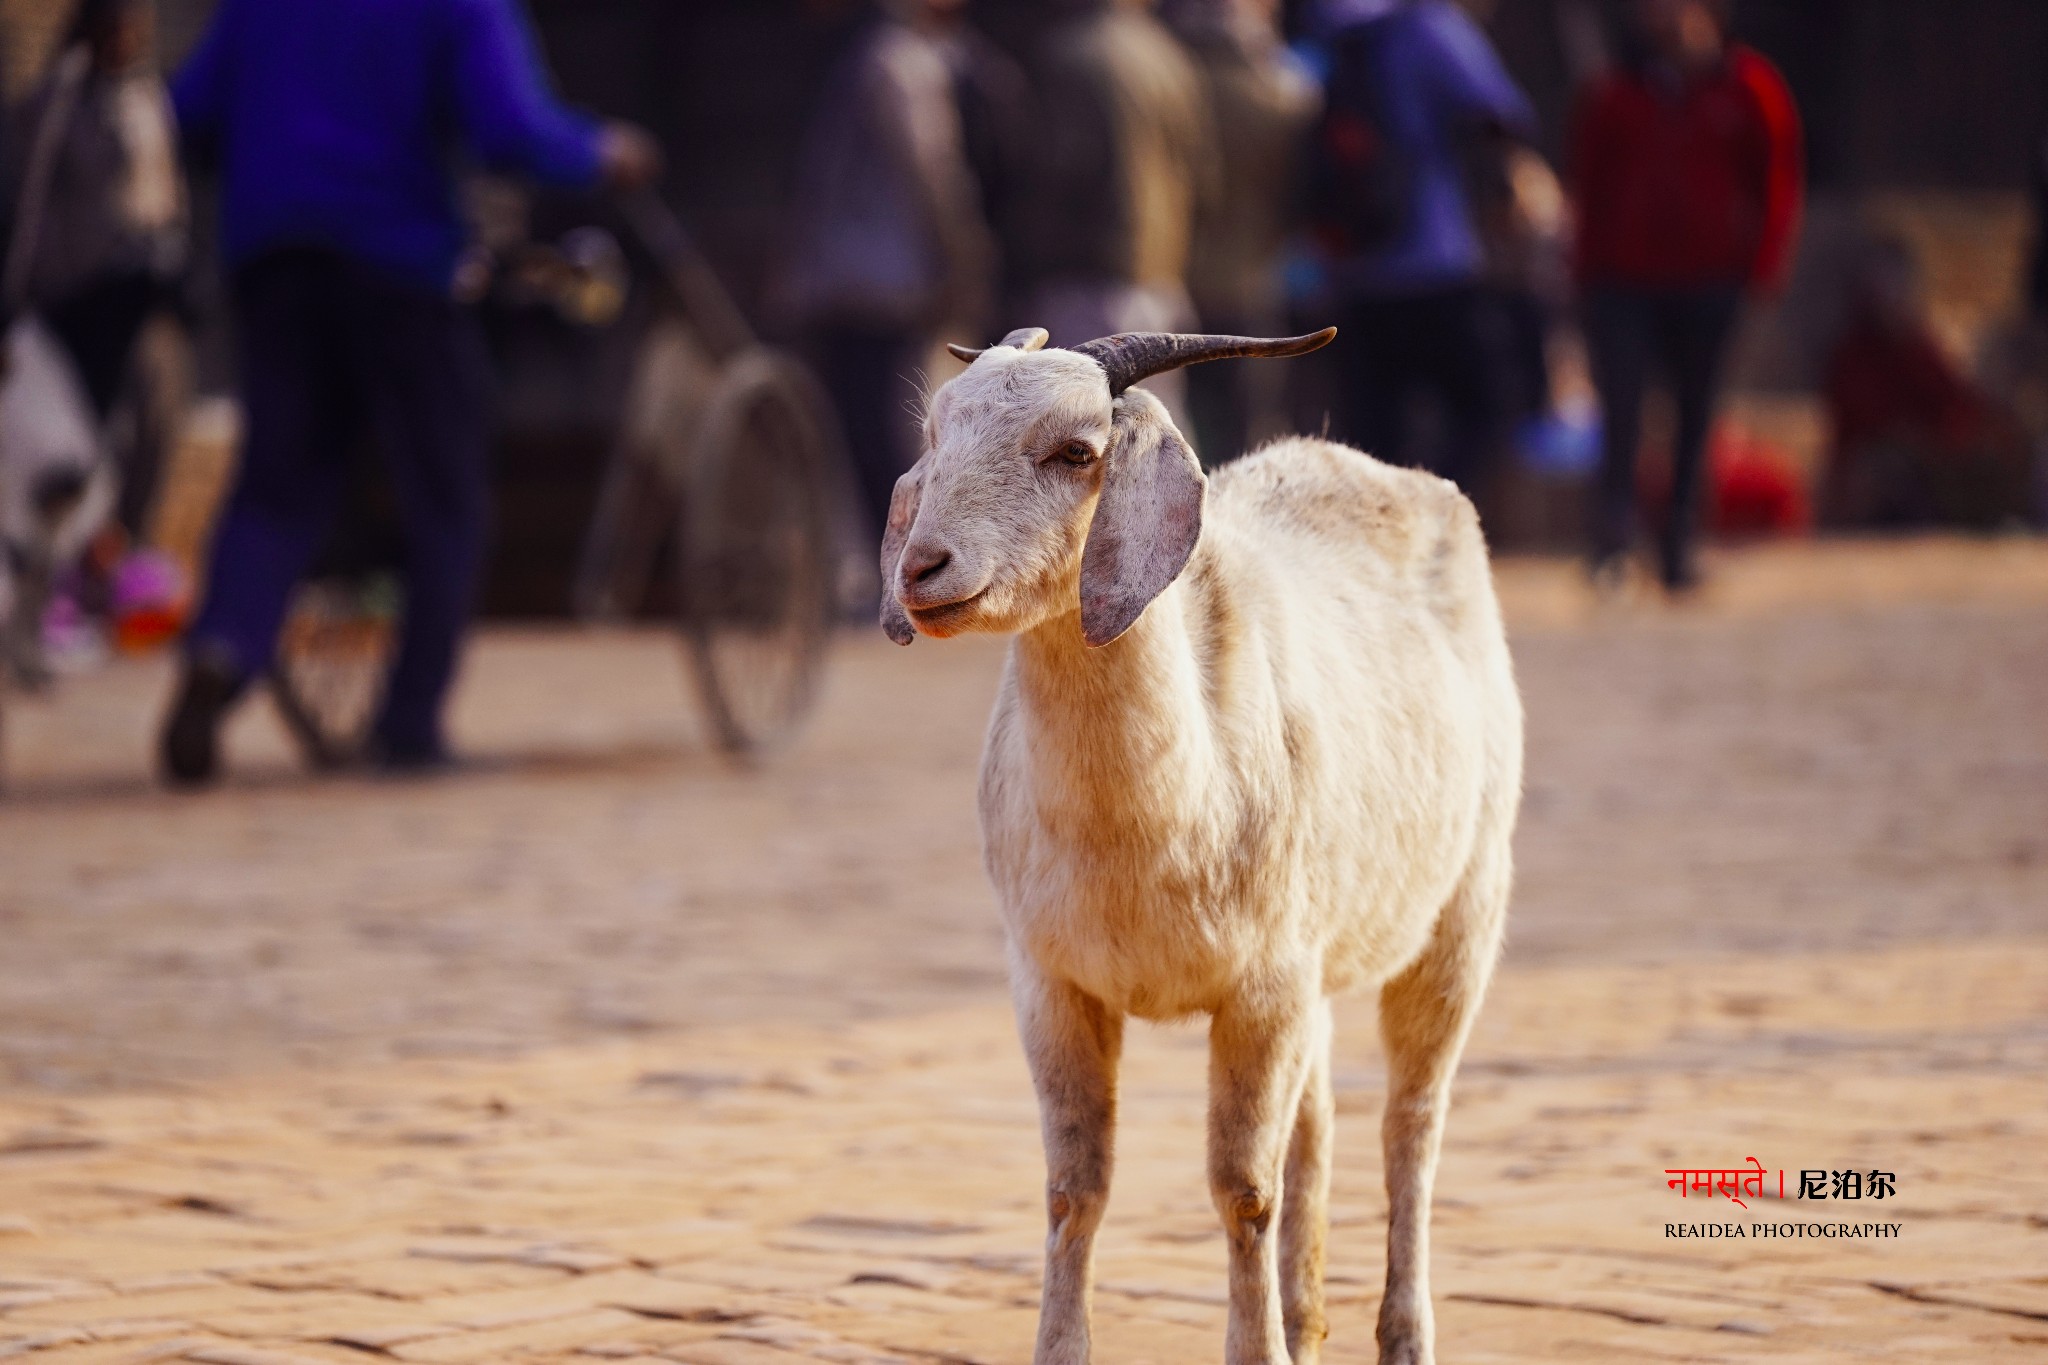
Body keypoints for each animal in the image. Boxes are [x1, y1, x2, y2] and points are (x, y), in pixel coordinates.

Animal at [876, 327, 1523, 1365]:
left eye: (1077, 451)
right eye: (935, 434)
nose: (923, 568)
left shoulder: (1261, 986)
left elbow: (1242, 1187)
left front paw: (1257, 1350)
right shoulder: (1050, 982)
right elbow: (1075, 1186)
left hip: (1466, 905)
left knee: (1411, 1124)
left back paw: (1401, 1333)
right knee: (1322, 1116)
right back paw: (1309, 1318)